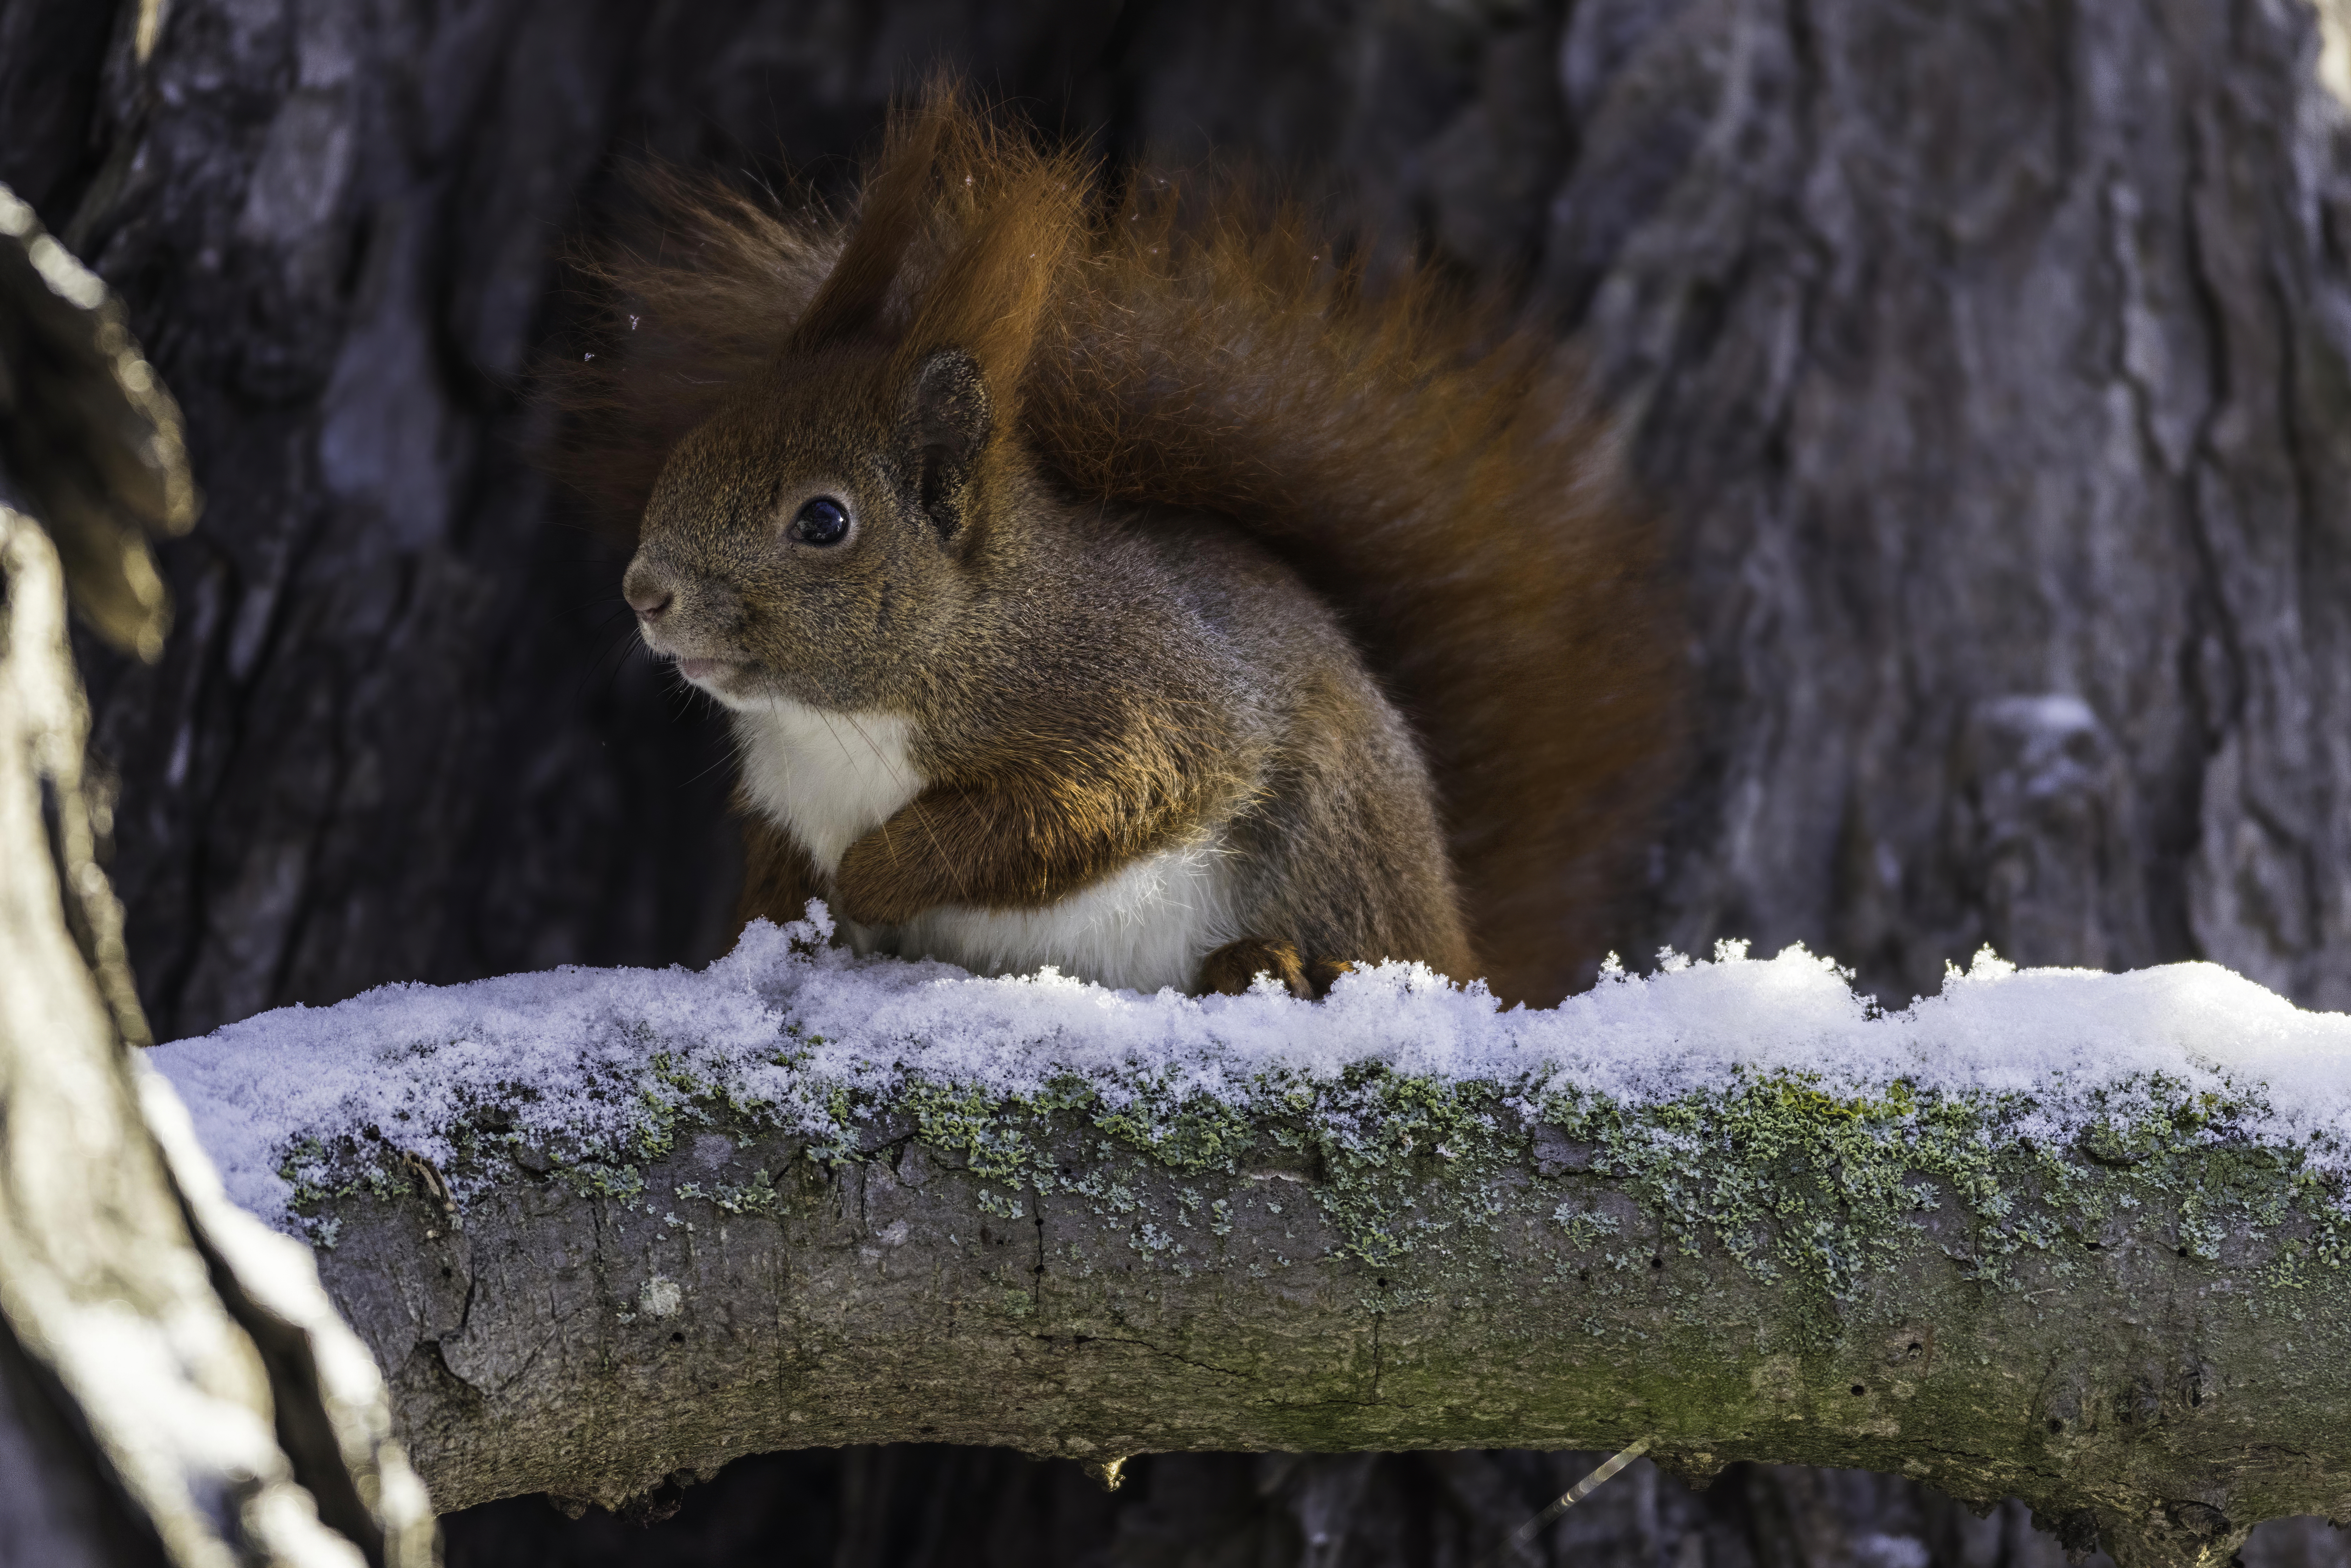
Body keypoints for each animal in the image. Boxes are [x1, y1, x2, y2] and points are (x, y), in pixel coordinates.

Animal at [555, 95, 1674, 1006]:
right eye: (691, 448)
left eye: (823, 522)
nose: (645, 592)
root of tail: (1456, 934)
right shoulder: (784, 807)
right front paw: (778, 935)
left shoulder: (1131, 701)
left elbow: (1072, 813)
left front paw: (874, 873)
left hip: (1332, 837)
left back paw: (1275, 963)